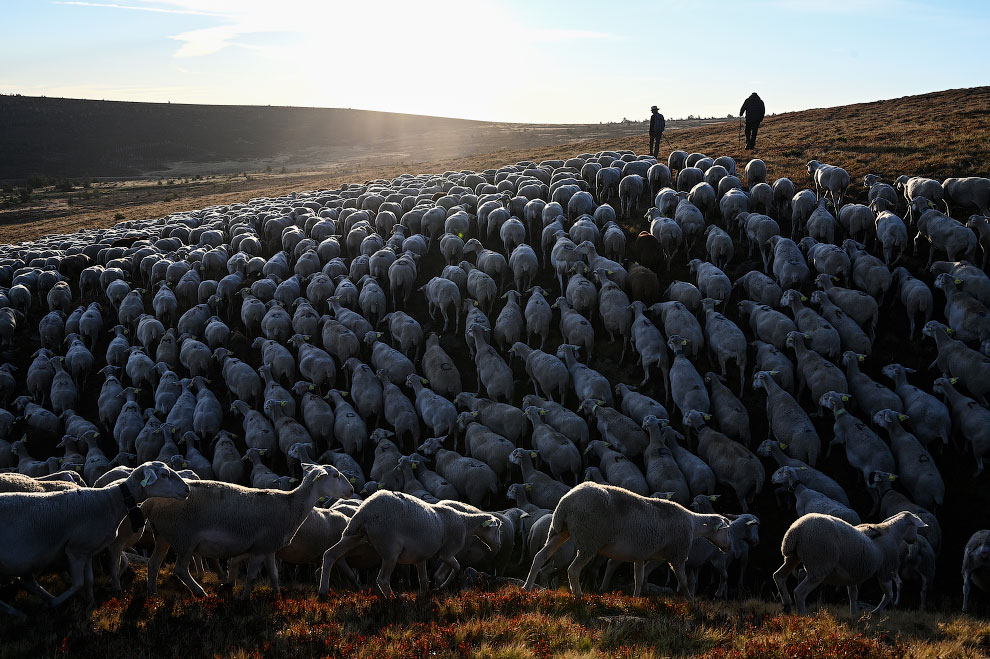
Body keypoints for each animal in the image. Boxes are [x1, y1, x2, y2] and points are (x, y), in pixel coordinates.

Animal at [0, 462, 190, 616]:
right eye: (164, 475)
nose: (188, 489)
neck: (111, 502)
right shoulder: (75, 550)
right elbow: (78, 583)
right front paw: (57, 603)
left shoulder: (89, 551)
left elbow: (89, 581)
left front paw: (90, 605)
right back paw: (26, 610)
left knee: (28, 582)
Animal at [320, 490, 504, 600]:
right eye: (497, 529)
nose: (498, 547)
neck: (465, 523)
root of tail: (364, 513)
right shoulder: (447, 552)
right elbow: (455, 568)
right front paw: (441, 587)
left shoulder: (420, 556)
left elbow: (423, 578)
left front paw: (425, 595)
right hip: (390, 549)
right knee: (382, 579)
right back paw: (394, 599)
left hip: (353, 535)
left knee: (330, 554)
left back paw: (323, 592)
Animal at [524, 480, 732, 600]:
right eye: (727, 530)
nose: (729, 548)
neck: (693, 523)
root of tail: (566, 502)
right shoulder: (677, 554)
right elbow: (683, 580)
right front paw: (690, 601)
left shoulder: (641, 555)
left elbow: (639, 578)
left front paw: (636, 599)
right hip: (588, 540)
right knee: (573, 570)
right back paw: (579, 596)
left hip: (559, 531)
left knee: (539, 557)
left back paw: (527, 588)